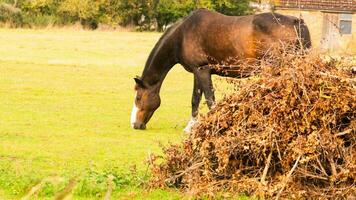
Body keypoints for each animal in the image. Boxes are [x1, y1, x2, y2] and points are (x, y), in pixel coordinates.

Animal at [129, 8, 310, 130]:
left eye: (138, 97)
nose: (135, 124)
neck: (182, 35)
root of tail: (296, 22)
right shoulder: (198, 72)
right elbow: (196, 99)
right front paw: (191, 126)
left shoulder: (202, 70)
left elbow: (209, 100)